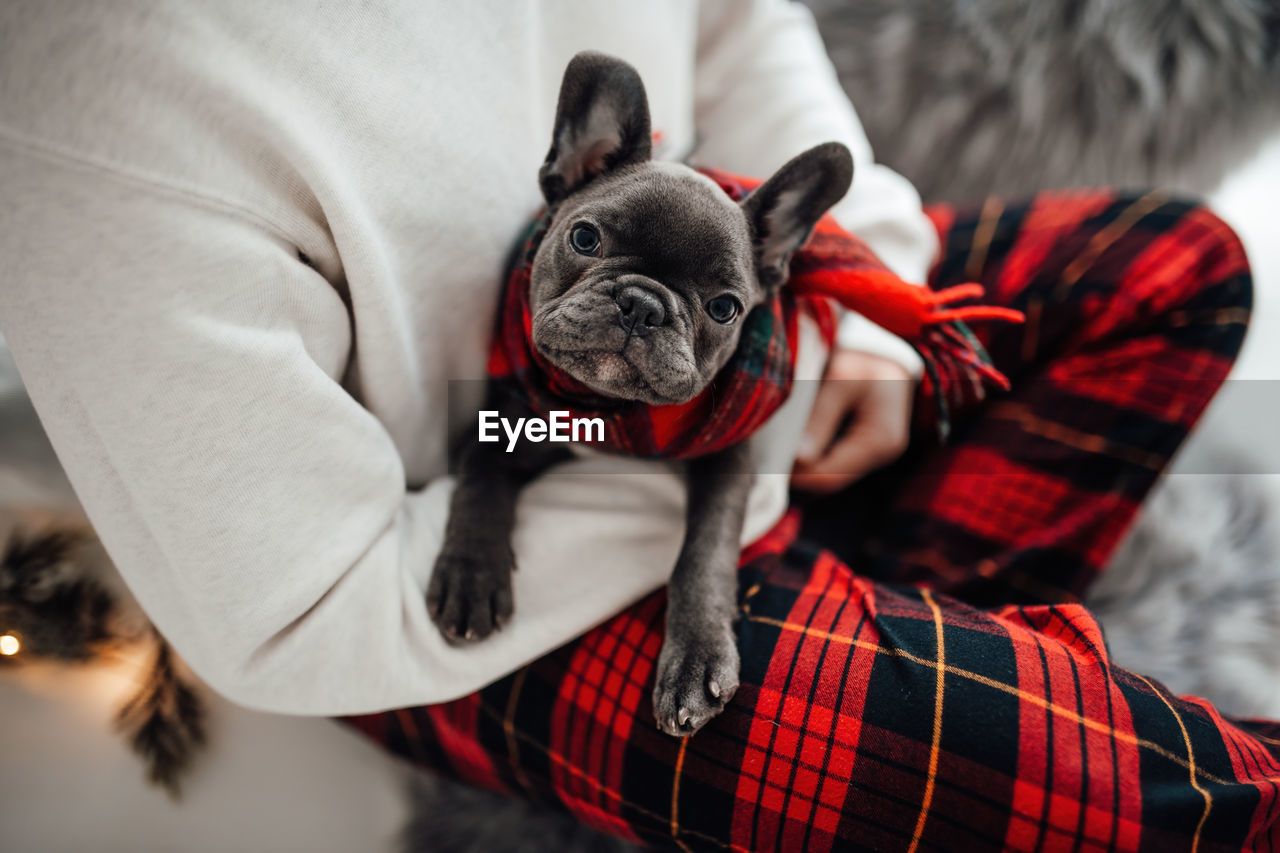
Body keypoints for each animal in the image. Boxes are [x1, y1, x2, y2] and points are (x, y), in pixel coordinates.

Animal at [424, 51, 855, 737]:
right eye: (585, 239)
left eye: (726, 307)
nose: (644, 304)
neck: (613, 416)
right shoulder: (507, 419)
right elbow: (480, 474)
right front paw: (470, 573)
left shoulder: (727, 459)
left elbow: (706, 550)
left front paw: (697, 655)